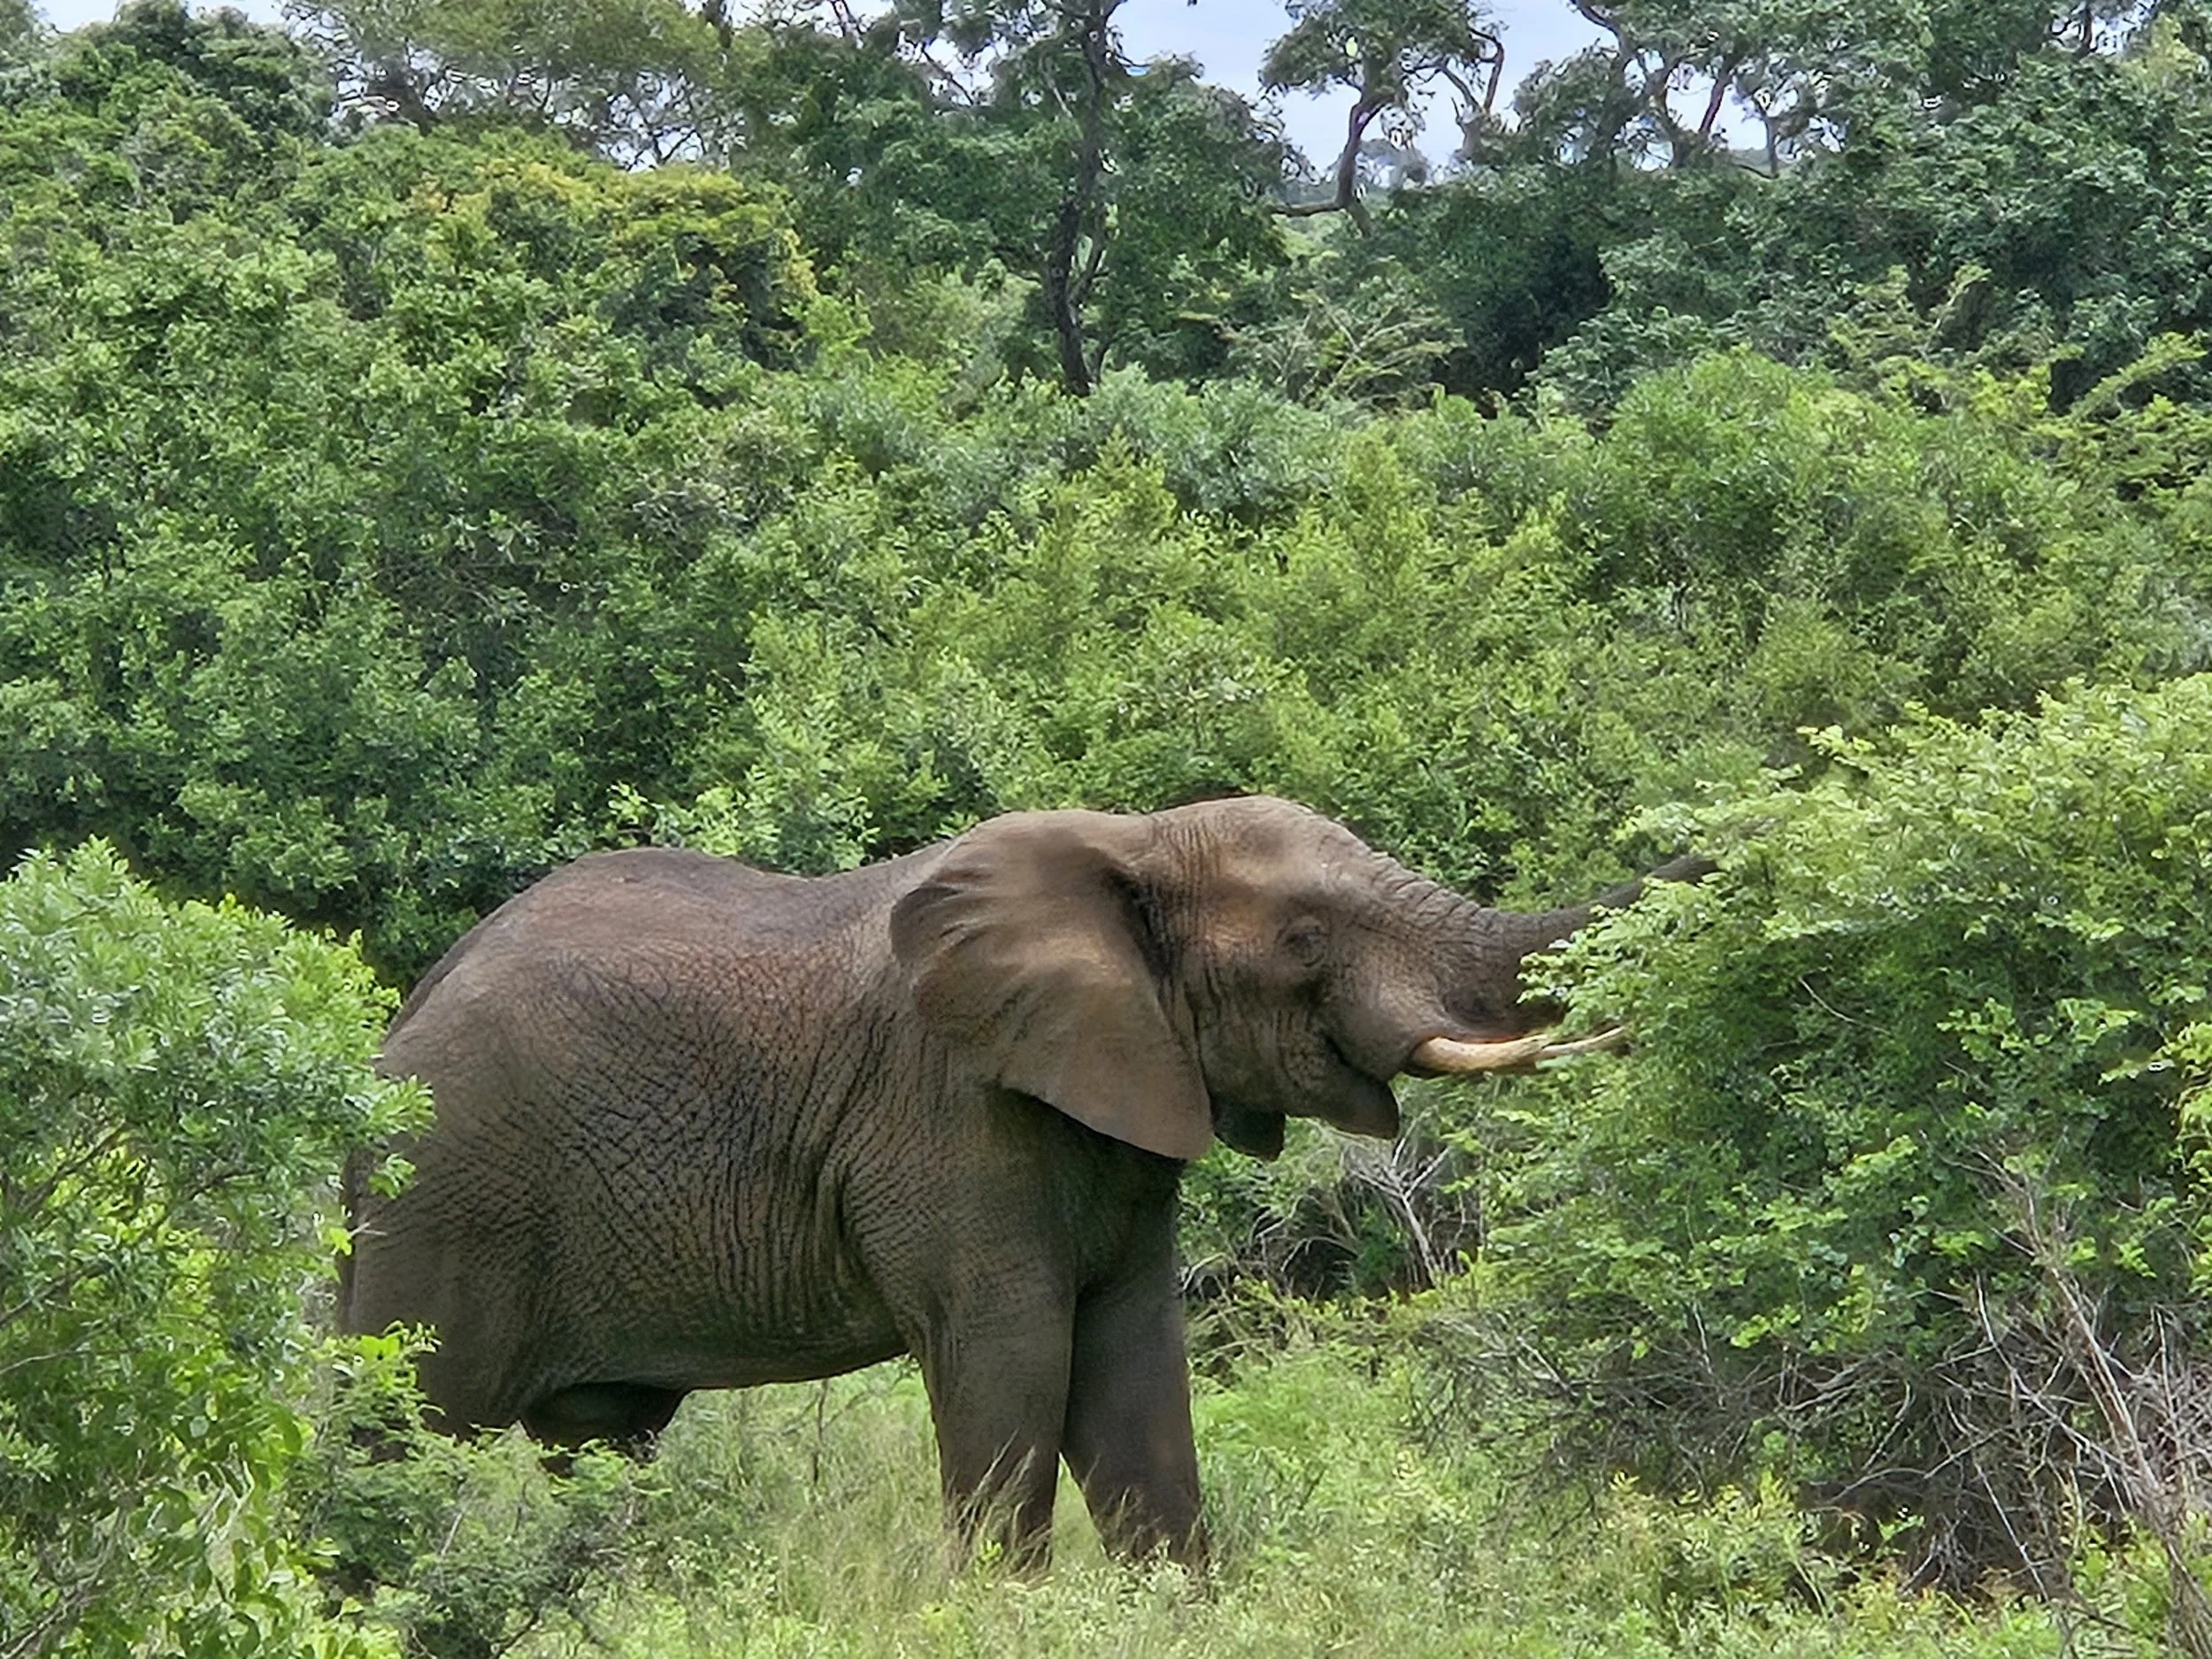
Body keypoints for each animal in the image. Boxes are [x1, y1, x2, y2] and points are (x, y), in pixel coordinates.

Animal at [341, 794, 1705, 1567]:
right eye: (1306, 936)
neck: (1126, 846)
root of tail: (385, 1041)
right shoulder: (952, 1115)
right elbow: (1011, 1357)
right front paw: (1006, 1604)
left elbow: (1133, 1364)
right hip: (448, 1201)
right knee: (400, 1429)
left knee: (600, 1438)